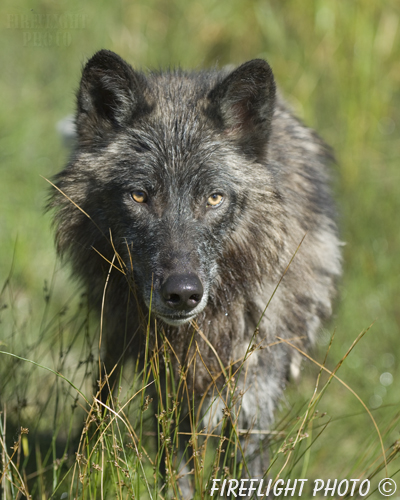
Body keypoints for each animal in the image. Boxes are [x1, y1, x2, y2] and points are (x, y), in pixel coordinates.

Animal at [50, 50, 342, 484]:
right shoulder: (167, 384)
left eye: (214, 197)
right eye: (139, 196)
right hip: (118, 340)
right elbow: (175, 469)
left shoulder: (252, 387)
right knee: (102, 402)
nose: (183, 293)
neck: (201, 330)